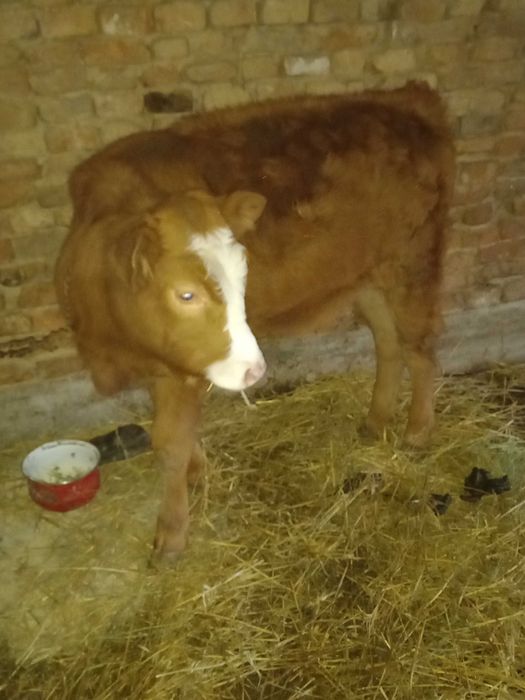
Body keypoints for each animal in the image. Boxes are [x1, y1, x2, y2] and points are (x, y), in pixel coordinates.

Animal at [55, 82, 455, 562]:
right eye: (185, 294)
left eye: (243, 275)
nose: (254, 370)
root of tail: (407, 97)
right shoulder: (168, 361)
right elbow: (174, 432)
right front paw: (197, 473)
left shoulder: (183, 373)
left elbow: (169, 441)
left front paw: (171, 534)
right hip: (369, 277)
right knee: (388, 343)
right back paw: (375, 421)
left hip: (413, 262)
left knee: (421, 348)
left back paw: (417, 432)